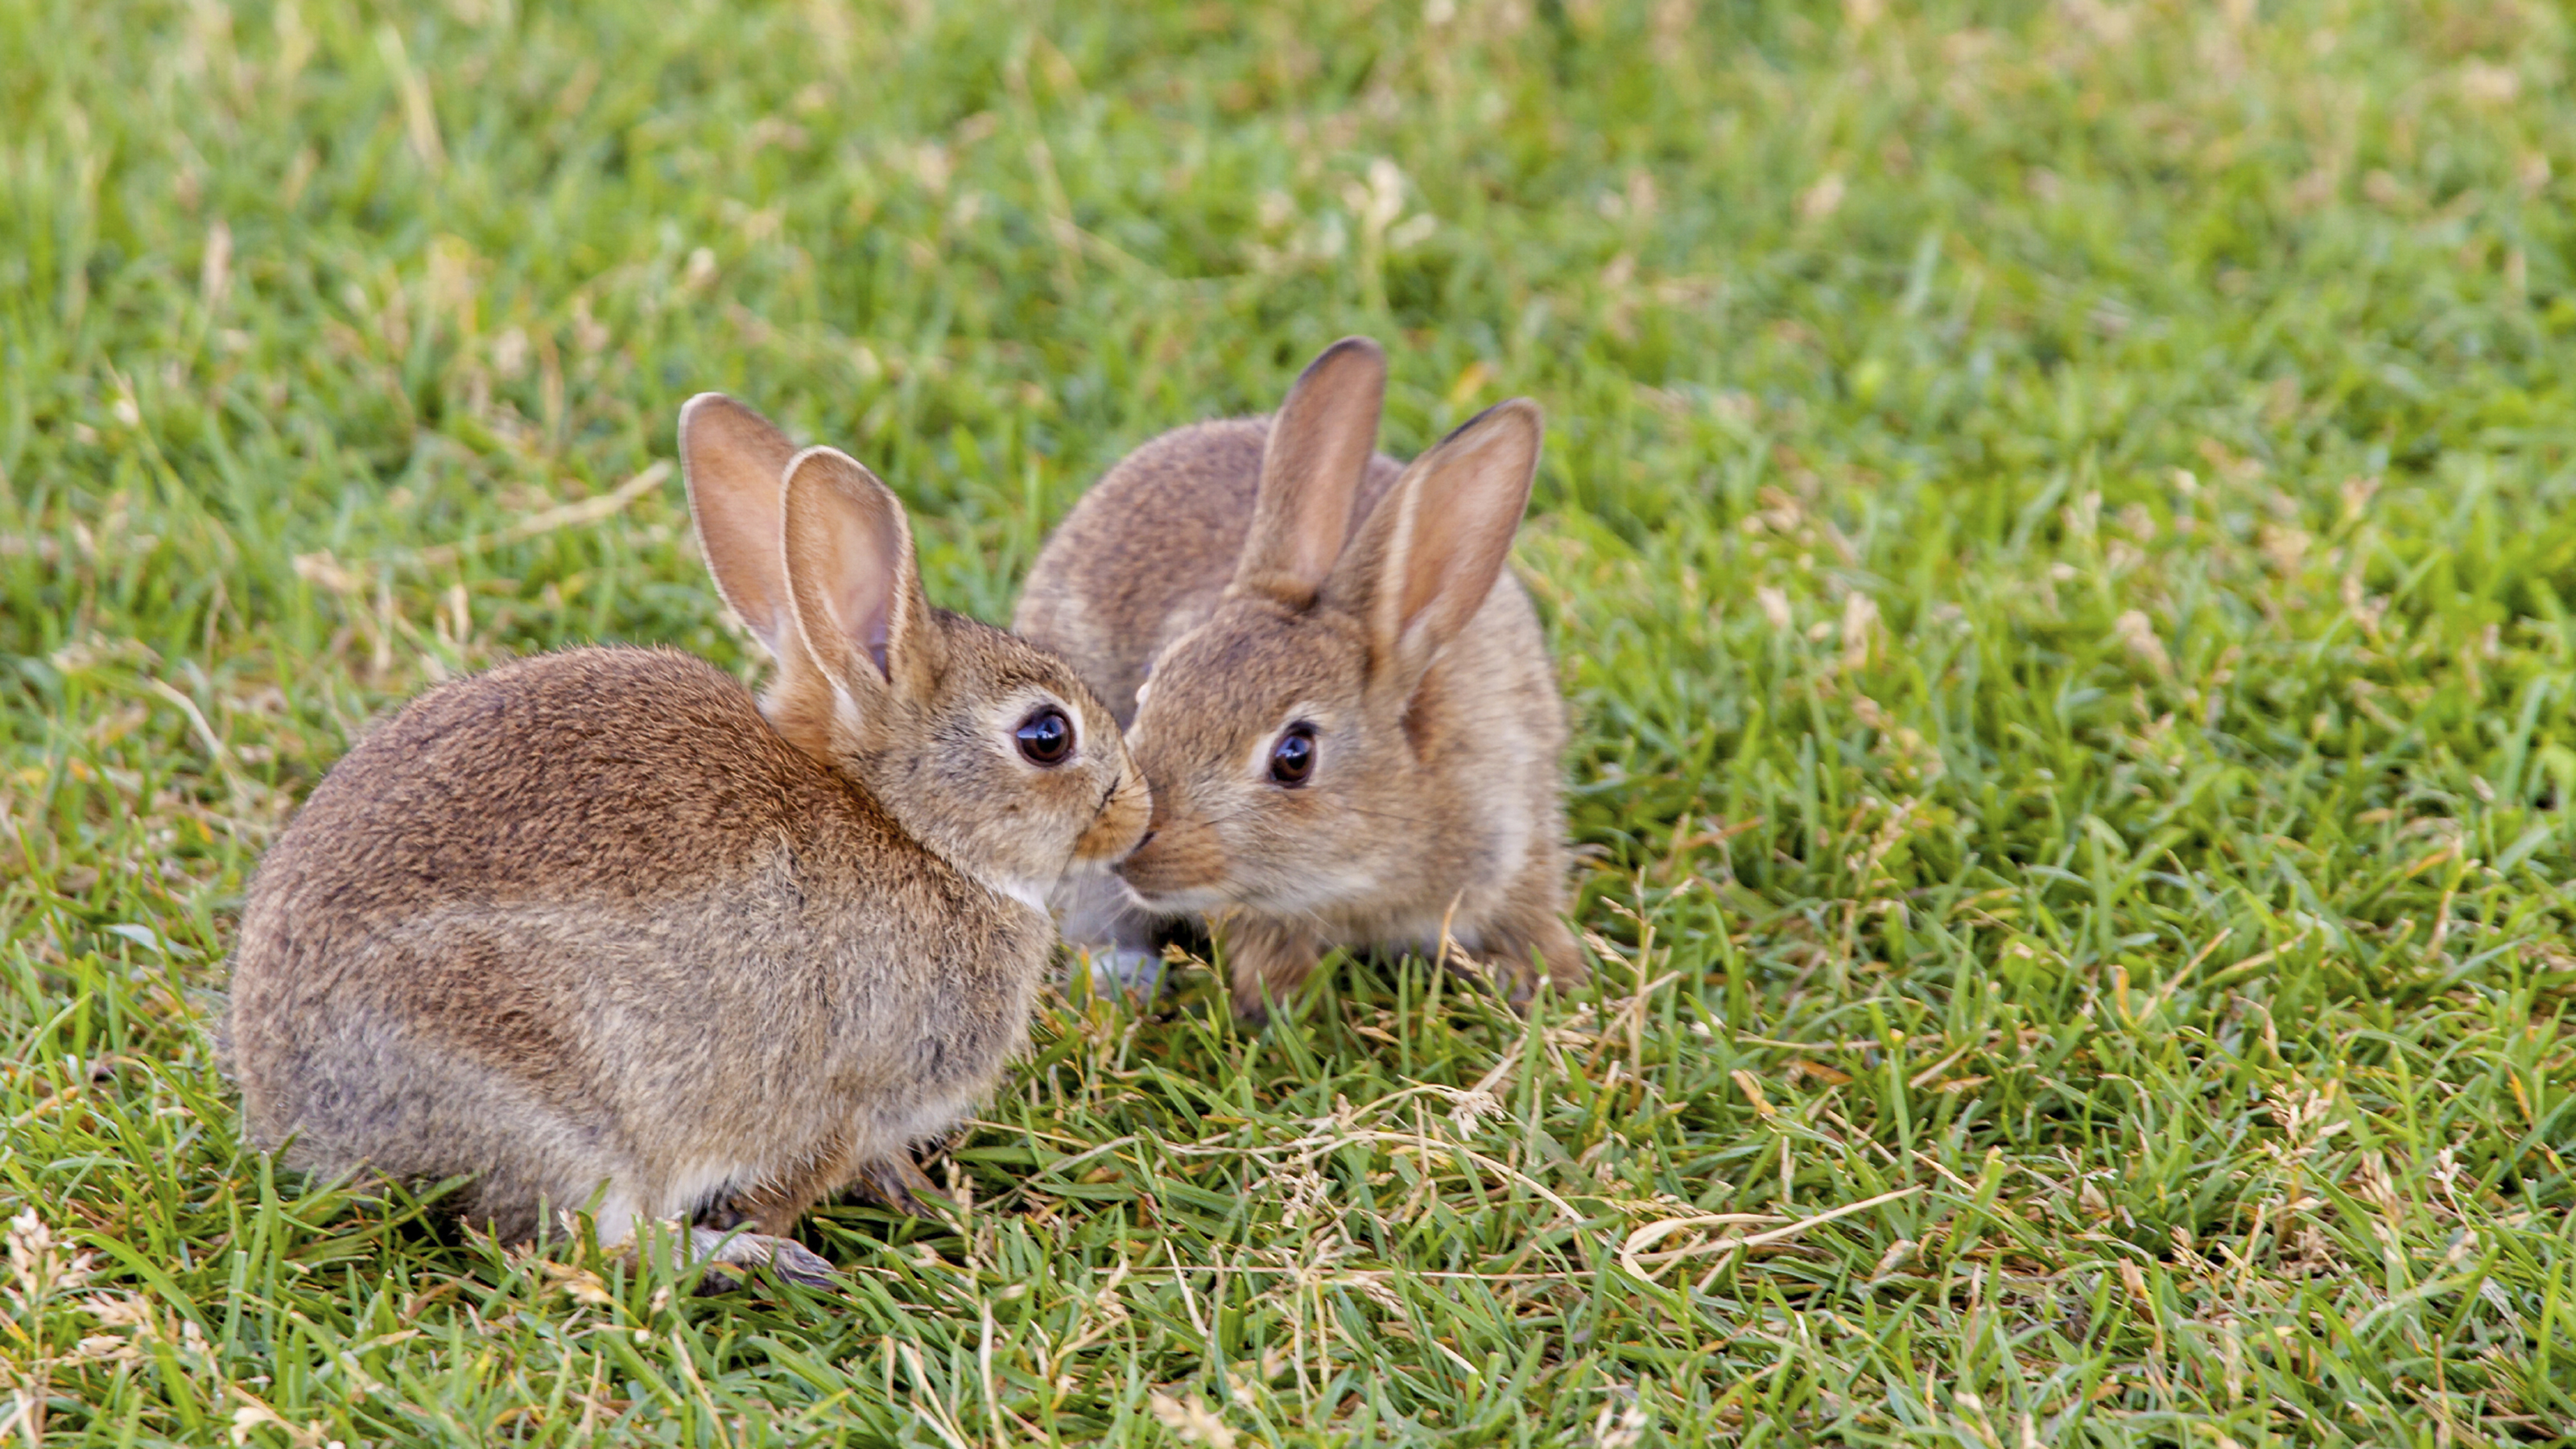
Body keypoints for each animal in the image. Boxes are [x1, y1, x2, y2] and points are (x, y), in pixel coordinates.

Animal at [226, 391, 1154, 1274]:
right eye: (1047, 736)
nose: (1139, 813)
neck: (910, 827)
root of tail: (305, 1115)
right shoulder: (849, 1097)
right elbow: (809, 1172)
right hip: (551, 1108)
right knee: (575, 1243)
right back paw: (752, 1261)